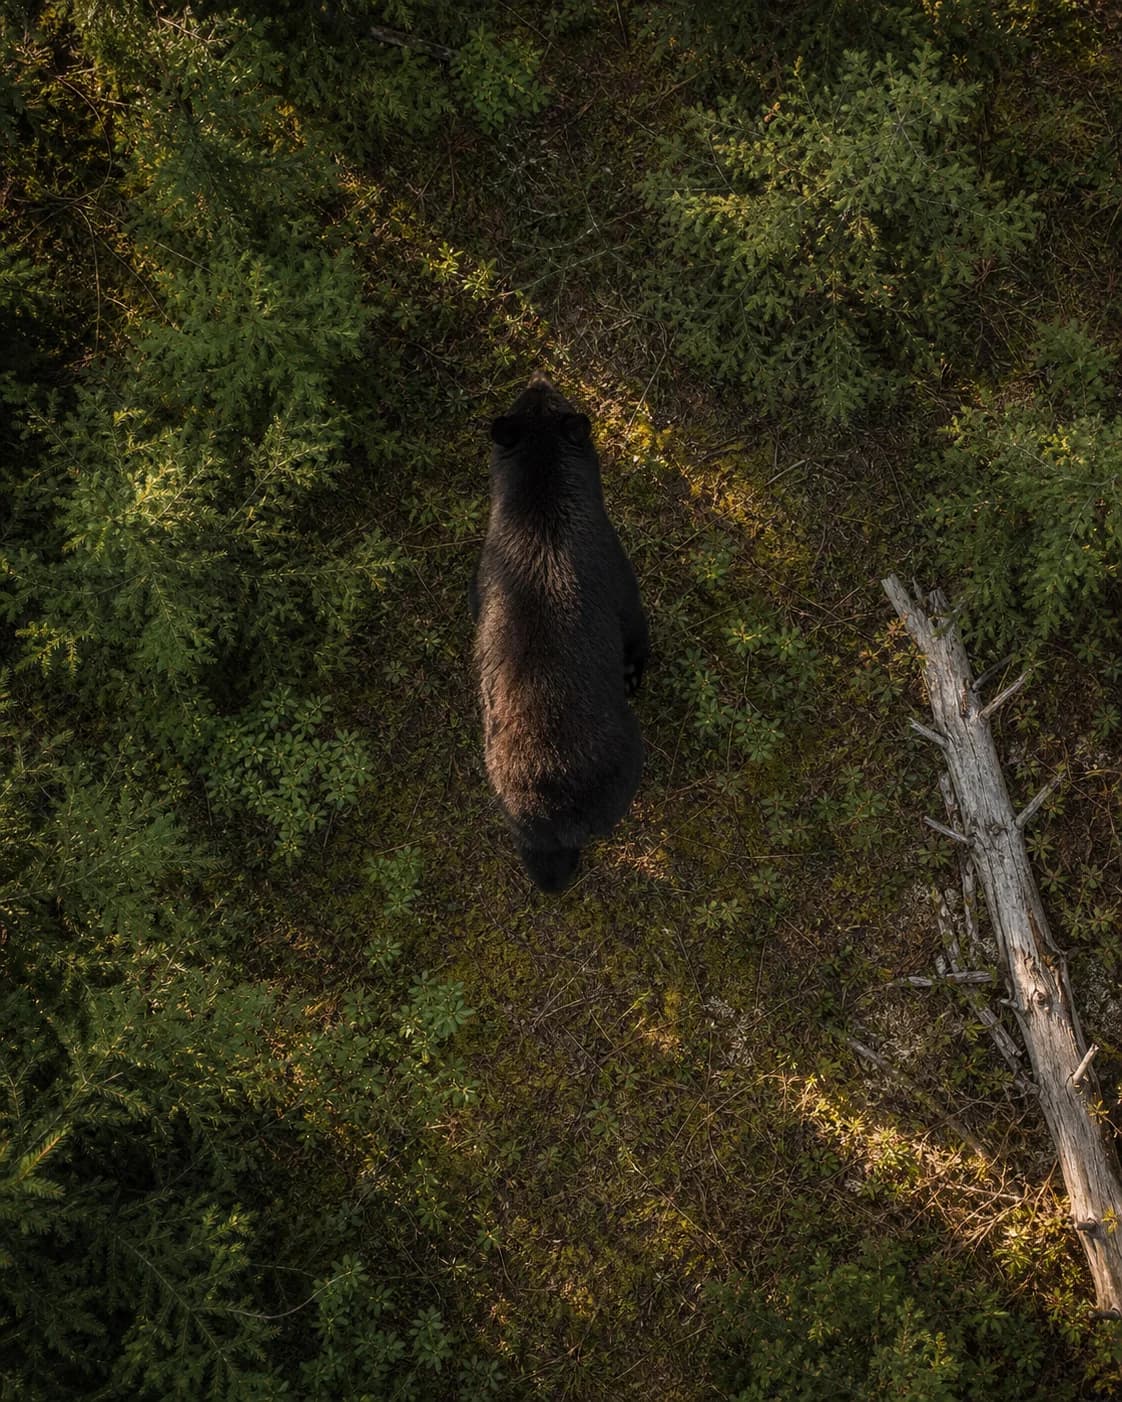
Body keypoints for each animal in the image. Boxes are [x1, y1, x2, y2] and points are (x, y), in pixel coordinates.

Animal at [471, 372, 649, 892]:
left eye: (533, 397)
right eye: (548, 396)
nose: (538, 377)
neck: (542, 501)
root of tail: (561, 813)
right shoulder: (618, 570)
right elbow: (636, 628)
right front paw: (635, 672)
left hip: (512, 807)